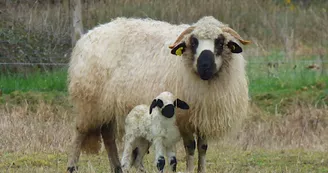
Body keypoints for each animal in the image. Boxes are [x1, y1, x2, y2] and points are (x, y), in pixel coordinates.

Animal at [67, 15, 251, 173]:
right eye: (193, 42)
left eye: (220, 42)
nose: (205, 65)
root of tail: (88, 35)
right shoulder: (184, 118)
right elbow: (190, 147)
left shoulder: (203, 115)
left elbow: (203, 148)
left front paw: (201, 169)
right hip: (90, 100)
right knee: (79, 132)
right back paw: (71, 166)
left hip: (105, 103)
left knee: (108, 135)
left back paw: (117, 167)